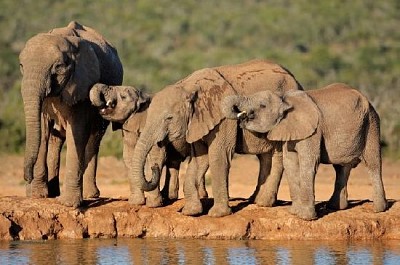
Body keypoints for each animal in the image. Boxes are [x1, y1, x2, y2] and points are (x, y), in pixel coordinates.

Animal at [18, 20, 123, 206]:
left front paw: (69, 203)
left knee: (94, 137)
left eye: (58, 66)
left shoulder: (83, 84)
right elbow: (43, 128)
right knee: (56, 139)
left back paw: (91, 195)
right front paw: (37, 195)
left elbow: (78, 131)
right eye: (21, 66)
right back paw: (53, 192)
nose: (26, 178)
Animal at [130, 58, 302, 216]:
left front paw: (217, 214)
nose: (154, 168)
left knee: (277, 156)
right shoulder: (198, 122)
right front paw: (190, 212)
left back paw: (264, 203)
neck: (188, 87)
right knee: (265, 156)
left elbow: (218, 155)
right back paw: (254, 200)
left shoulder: (224, 117)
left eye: (169, 118)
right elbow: (199, 159)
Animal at [222, 82, 388, 219]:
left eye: (262, 105)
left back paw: (379, 210)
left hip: (372, 122)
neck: (284, 100)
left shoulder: (313, 130)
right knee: (342, 167)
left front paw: (305, 218)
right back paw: (335, 207)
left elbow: (308, 162)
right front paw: (294, 212)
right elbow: (290, 163)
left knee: (373, 162)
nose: (242, 115)